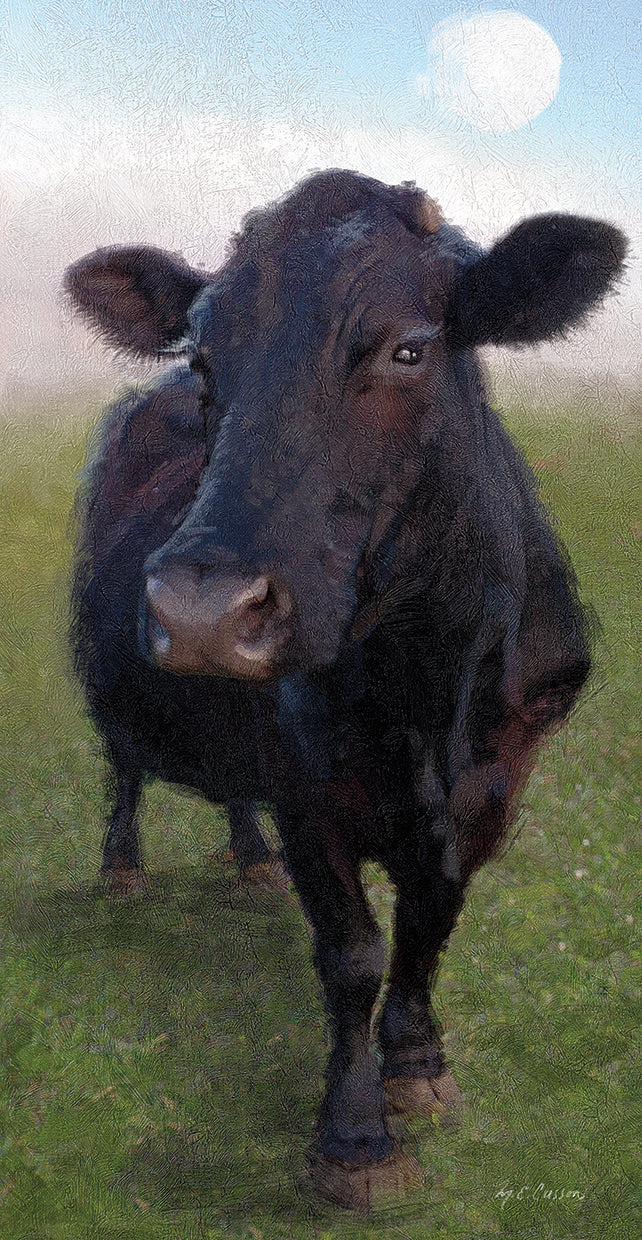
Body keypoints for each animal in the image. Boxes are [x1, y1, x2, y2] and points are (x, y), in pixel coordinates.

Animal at [66, 169, 625, 1212]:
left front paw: (419, 1066)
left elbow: (432, 921)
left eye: (409, 348)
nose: (202, 609)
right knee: (123, 764)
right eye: (204, 359)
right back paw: (123, 867)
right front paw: (356, 1138)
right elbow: (353, 953)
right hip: (113, 677)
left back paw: (248, 861)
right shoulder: (309, 791)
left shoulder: (497, 783)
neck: (426, 688)